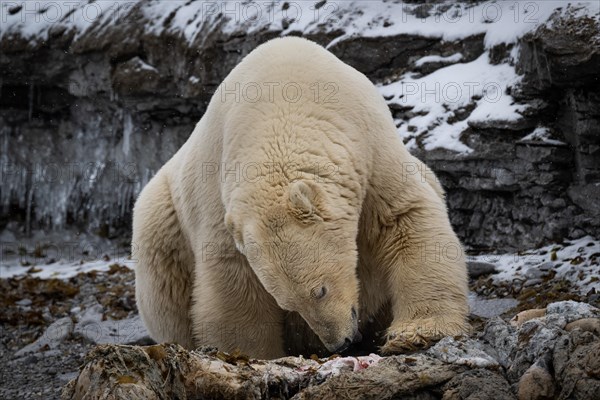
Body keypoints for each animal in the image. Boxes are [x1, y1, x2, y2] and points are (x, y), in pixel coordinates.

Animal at [134, 36, 472, 358]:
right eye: (288, 304)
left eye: (319, 290)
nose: (339, 343)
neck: (288, 100)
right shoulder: (220, 198)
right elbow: (233, 279)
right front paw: (253, 354)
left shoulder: (369, 150)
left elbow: (404, 219)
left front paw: (416, 334)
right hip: (163, 216)